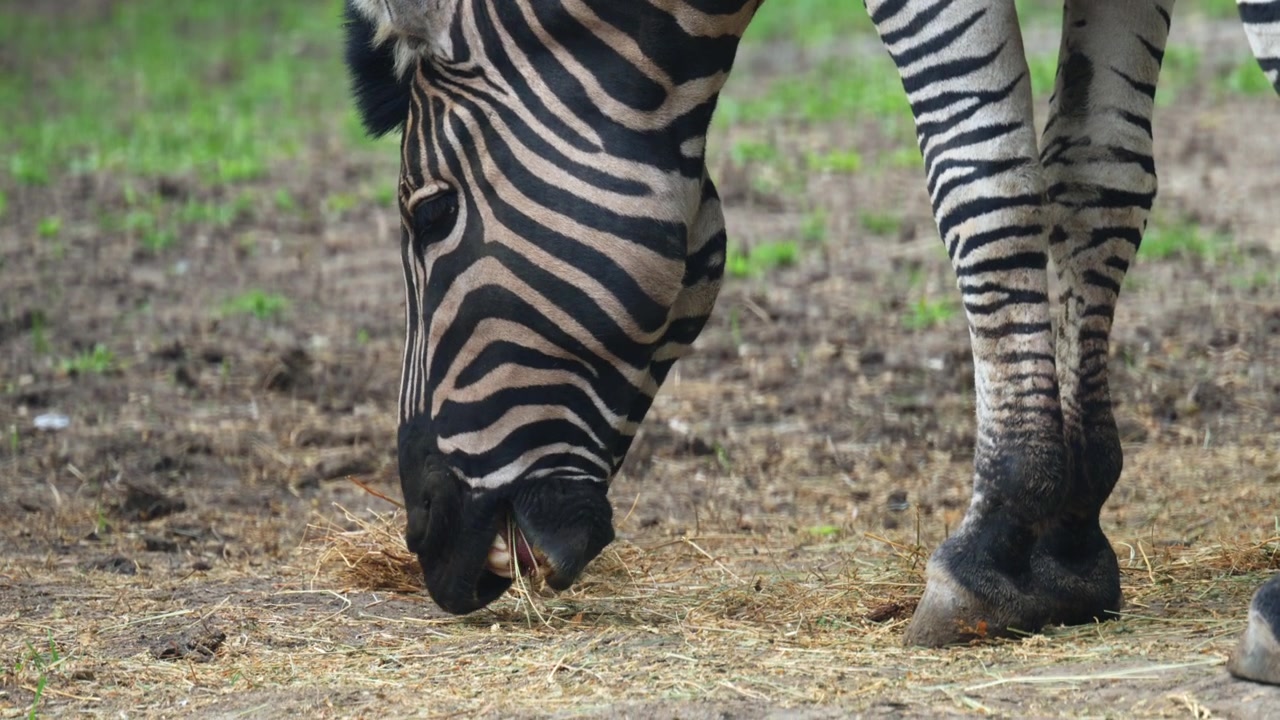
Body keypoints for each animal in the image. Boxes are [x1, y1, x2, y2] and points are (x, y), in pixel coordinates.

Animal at [344, 0, 1280, 684]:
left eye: (432, 215)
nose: (426, 542)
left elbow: (983, 178)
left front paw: (999, 540)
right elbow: (1096, 174)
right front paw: (1067, 542)